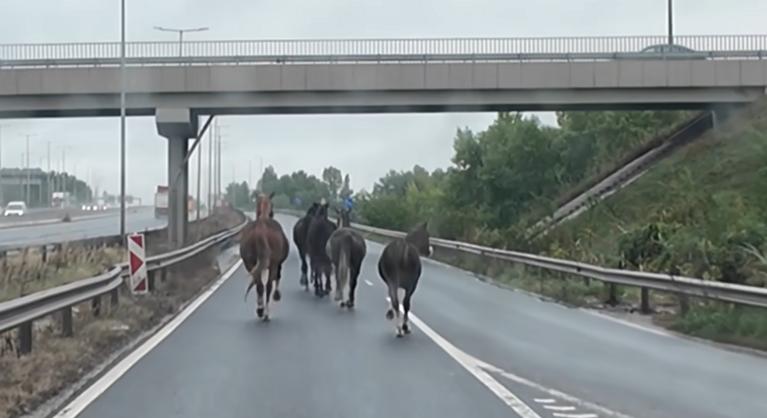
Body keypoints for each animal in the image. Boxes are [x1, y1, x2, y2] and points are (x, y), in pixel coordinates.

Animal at [240, 191, 288, 322]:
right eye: (273, 204)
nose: (273, 213)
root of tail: (261, 227)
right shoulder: (277, 263)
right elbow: (278, 276)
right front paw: (277, 295)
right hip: (273, 263)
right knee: (268, 285)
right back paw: (265, 312)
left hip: (250, 263)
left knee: (259, 285)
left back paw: (260, 310)